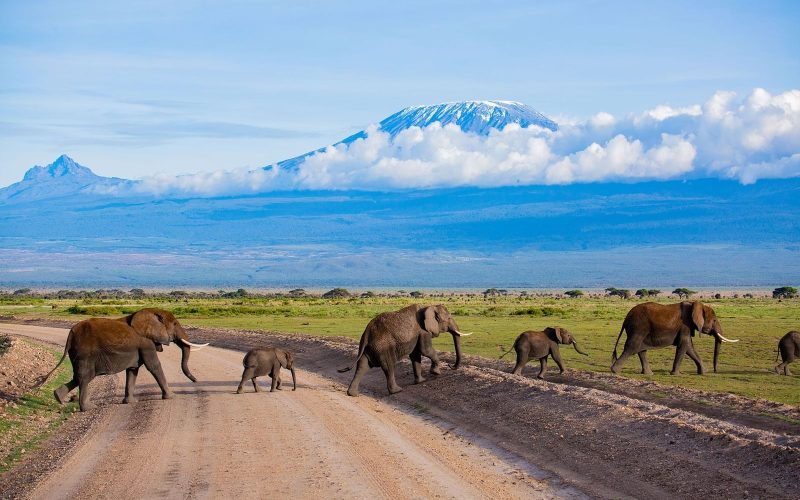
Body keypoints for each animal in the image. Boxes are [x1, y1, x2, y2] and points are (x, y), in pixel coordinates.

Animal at [39, 308, 209, 410]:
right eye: (174, 323)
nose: (196, 381)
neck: (151, 311)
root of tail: (71, 333)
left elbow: (133, 370)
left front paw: (130, 403)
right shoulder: (146, 343)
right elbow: (153, 366)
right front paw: (172, 397)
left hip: (77, 353)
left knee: (78, 377)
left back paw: (58, 398)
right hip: (85, 353)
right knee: (85, 377)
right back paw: (88, 408)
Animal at [336, 302, 468, 396]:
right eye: (449, 318)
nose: (451, 366)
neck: (429, 306)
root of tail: (367, 332)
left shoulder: (417, 335)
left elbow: (415, 355)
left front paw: (421, 381)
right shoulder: (423, 331)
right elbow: (425, 350)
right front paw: (436, 373)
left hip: (370, 347)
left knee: (363, 366)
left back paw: (352, 394)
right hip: (382, 346)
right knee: (389, 366)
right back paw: (397, 390)